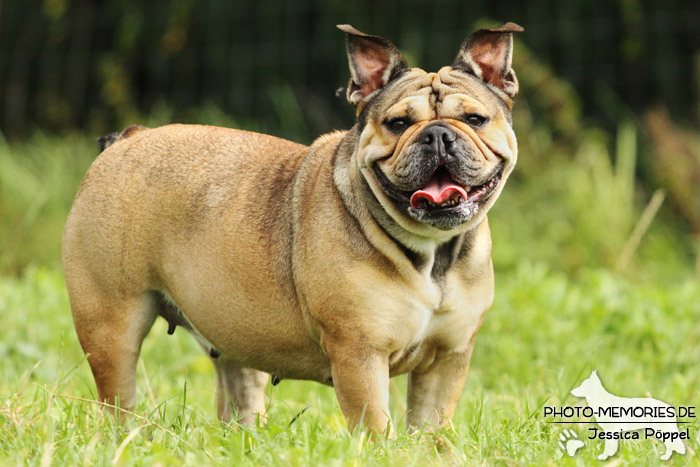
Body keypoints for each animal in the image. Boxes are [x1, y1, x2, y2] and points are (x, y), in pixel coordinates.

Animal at [63, 21, 524, 432]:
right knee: (118, 400)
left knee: (239, 394)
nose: (438, 135)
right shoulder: (360, 356)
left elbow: (430, 428)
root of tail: (129, 138)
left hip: (235, 329)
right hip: (111, 326)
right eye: (398, 124)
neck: (433, 250)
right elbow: (376, 427)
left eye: (475, 119)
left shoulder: (448, 359)